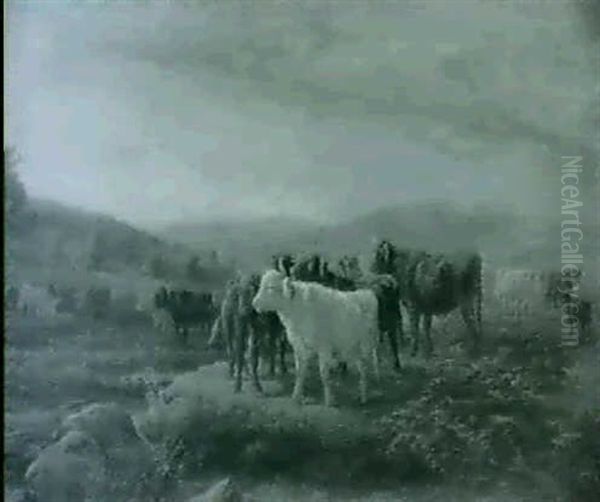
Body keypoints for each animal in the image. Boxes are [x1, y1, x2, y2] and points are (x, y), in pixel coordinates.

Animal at [253, 268, 380, 406]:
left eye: (271, 287)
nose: (254, 303)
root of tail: (365, 293)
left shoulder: (324, 347)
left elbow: (324, 374)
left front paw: (329, 400)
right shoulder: (299, 347)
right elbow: (300, 372)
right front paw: (296, 396)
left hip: (366, 345)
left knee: (365, 369)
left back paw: (364, 396)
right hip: (352, 347)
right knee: (361, 367)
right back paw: (361, 395)